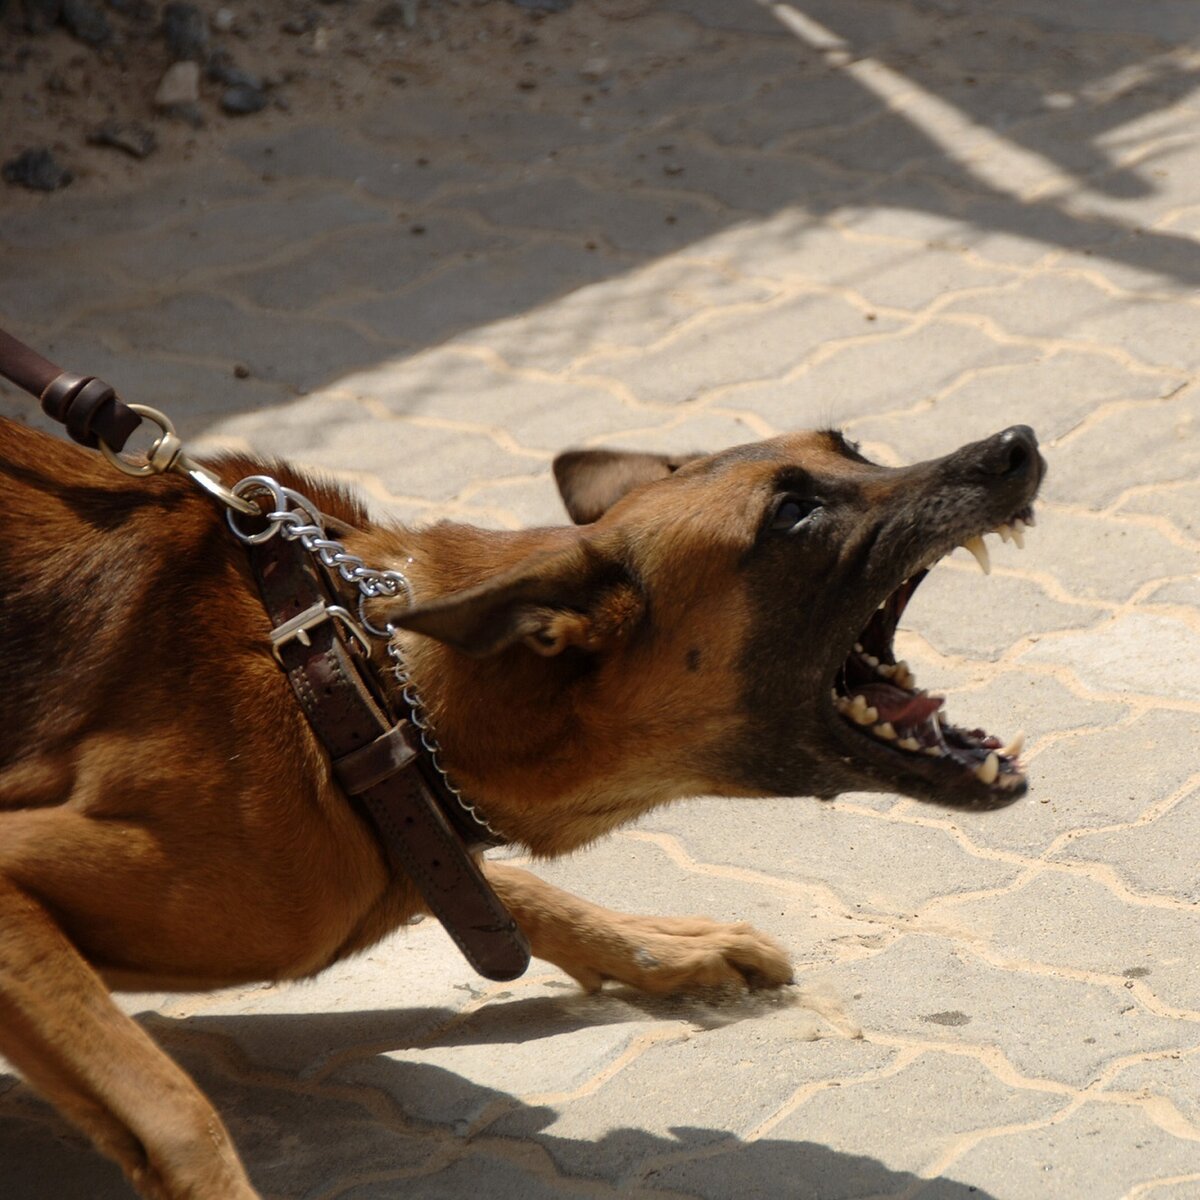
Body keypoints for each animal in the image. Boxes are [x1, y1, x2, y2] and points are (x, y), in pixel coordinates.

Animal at [0, 417, 1041, 1195]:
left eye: (850, 446)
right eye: (792, 512)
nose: (1016, 446)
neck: (354, 682)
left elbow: (501, 888)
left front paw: (656, 946)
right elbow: (176, 1114)